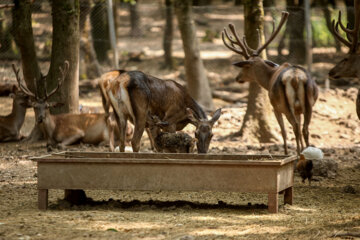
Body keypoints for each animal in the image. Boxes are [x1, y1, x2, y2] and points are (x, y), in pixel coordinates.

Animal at [224, 10, 320, 156]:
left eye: (245, 67)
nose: (237, 78)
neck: (268, 79)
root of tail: (296, 78)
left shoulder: (275, 107)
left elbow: (284, 131)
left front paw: (286, 152)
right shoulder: (298, 109)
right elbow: (299, 125)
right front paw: (302, 149)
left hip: (284, 104)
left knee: (294, 127)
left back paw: (298, 155)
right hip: (308, 102)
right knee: (304, 128)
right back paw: (306, 154)